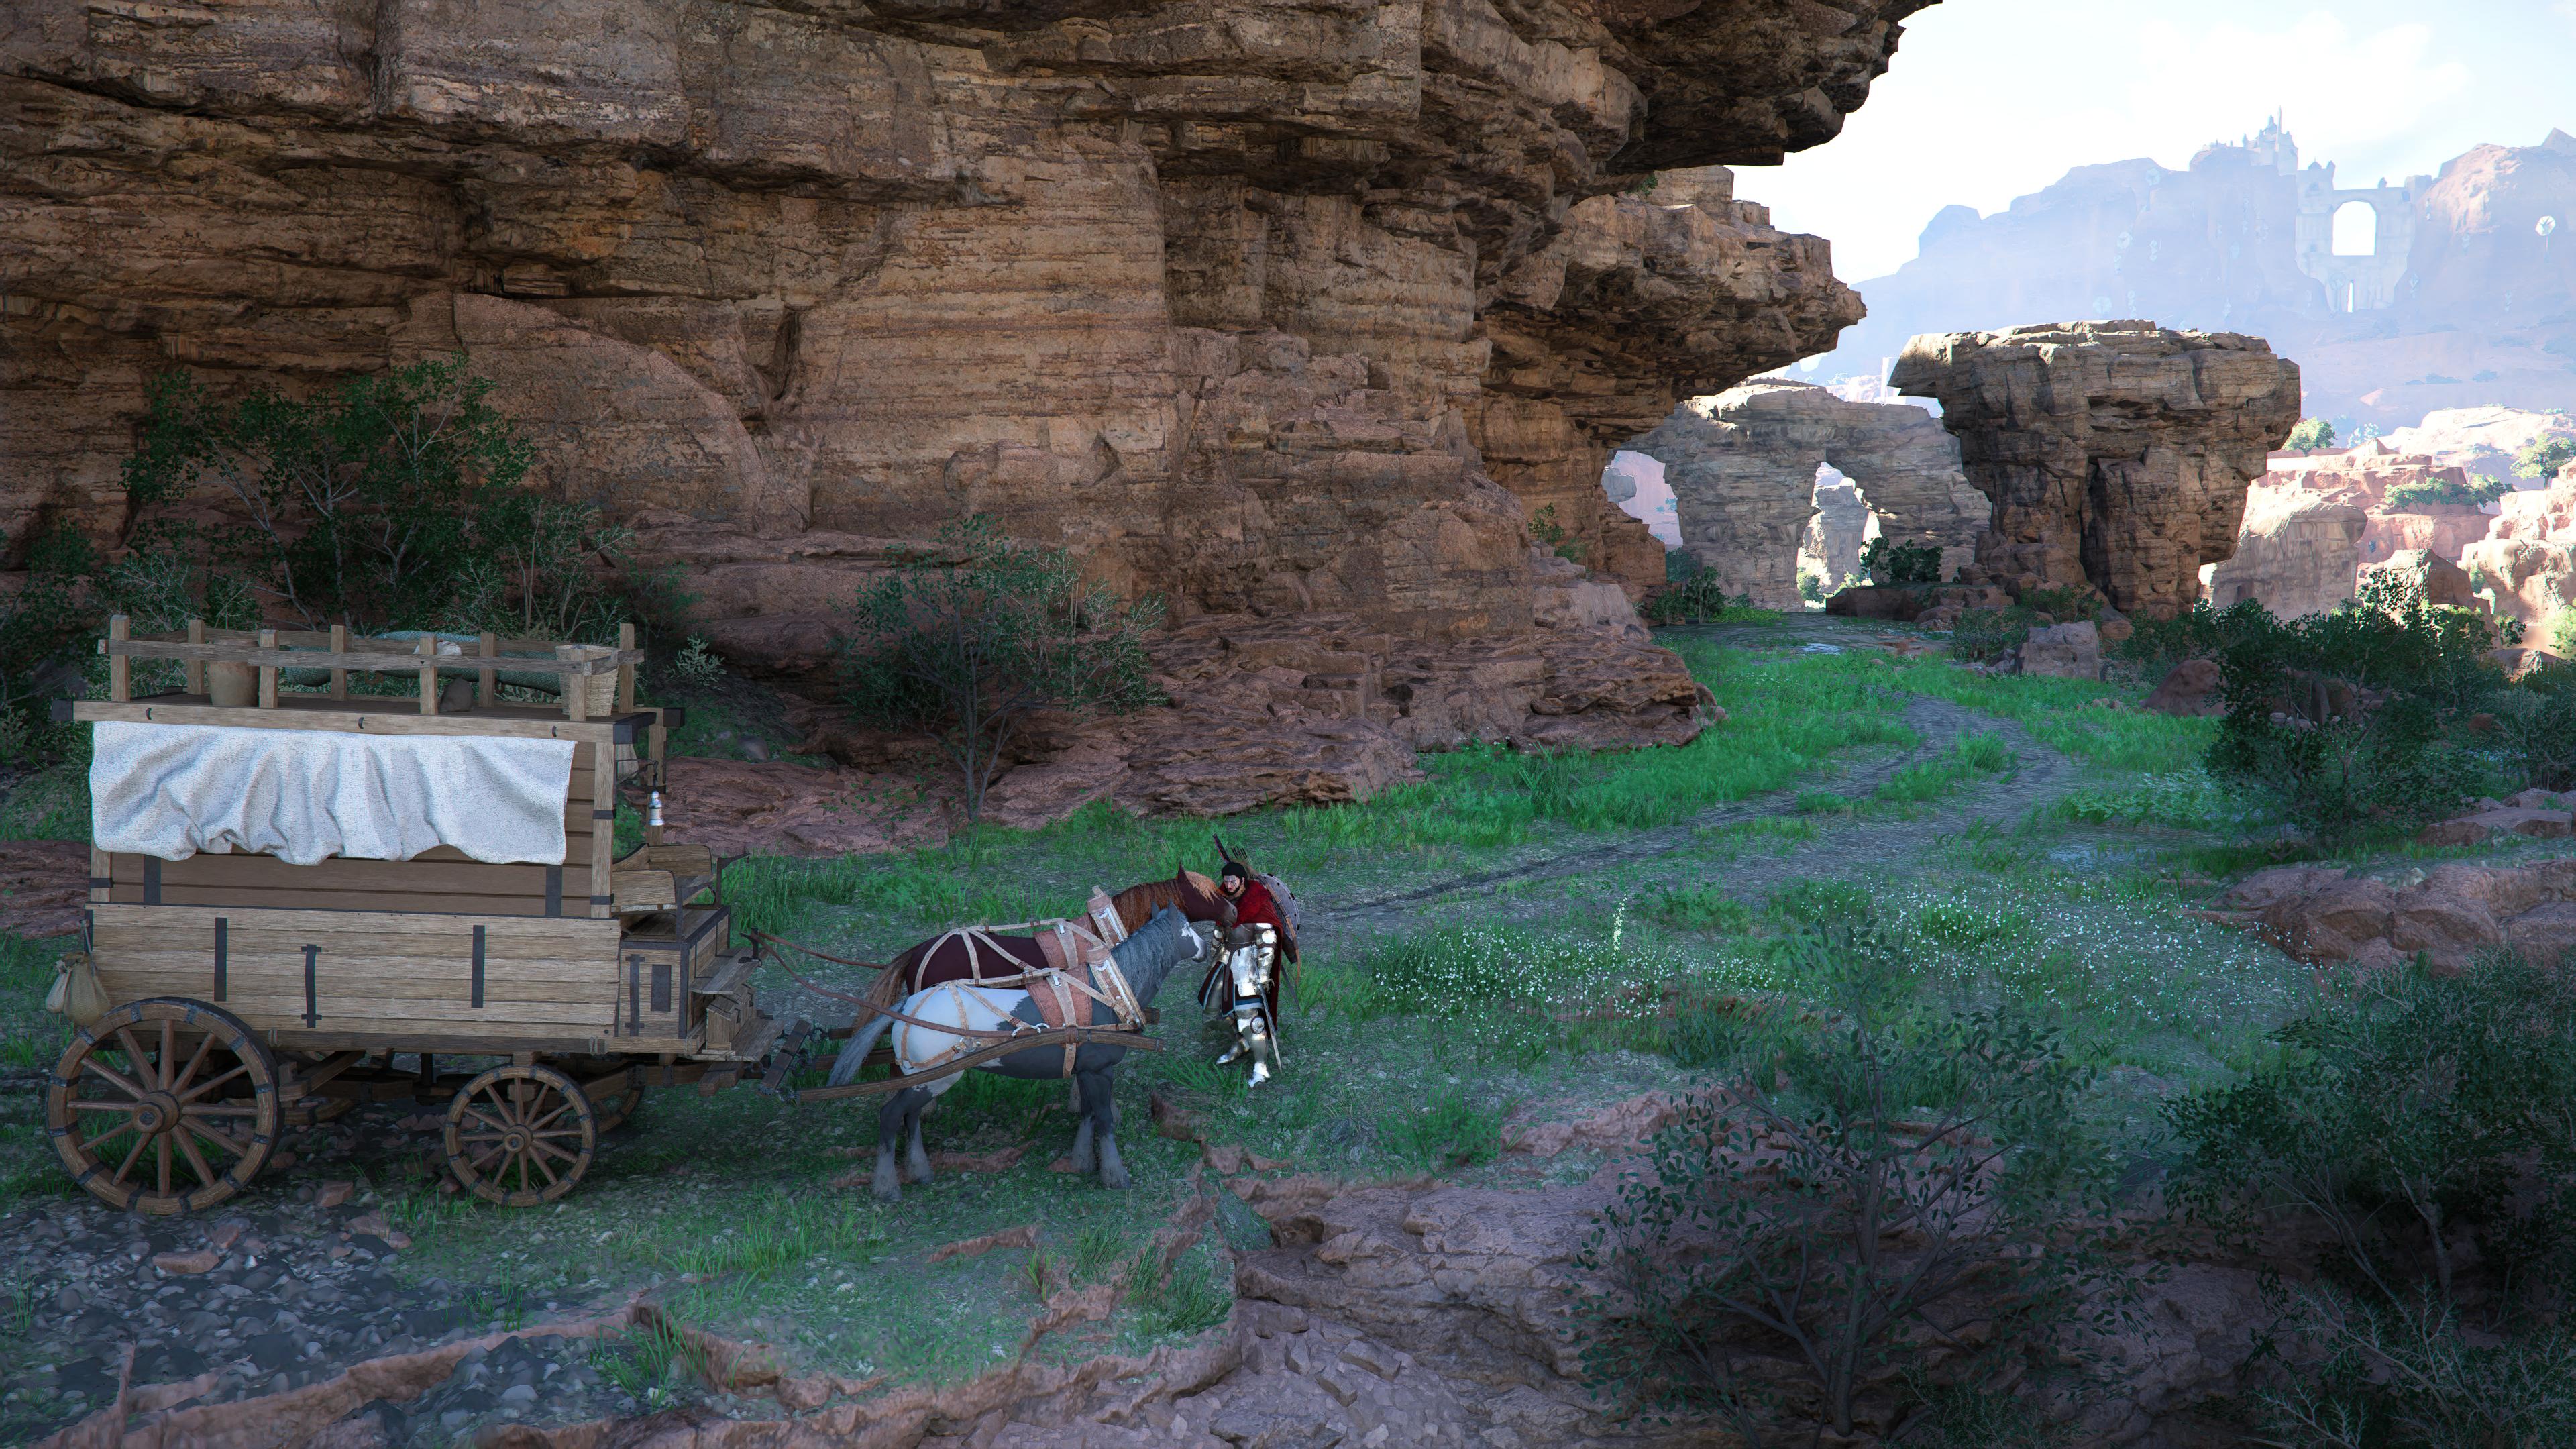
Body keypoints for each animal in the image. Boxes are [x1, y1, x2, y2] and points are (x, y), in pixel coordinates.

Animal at [826, 906, 1210, 1202]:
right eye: (1188, 927)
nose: (1206, 948)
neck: (1109, 993)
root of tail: (907, 1006)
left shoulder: (1086, 1070)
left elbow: (1087, 1114)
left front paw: (1082, 1161)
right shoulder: (1100, 1071)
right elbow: (1103, 1119)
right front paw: (1115, 1176)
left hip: (926, 1078)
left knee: (911, 1117)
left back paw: (920, 1169)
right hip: (935, 1078)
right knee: (891, 1116)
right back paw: (887, 1186)